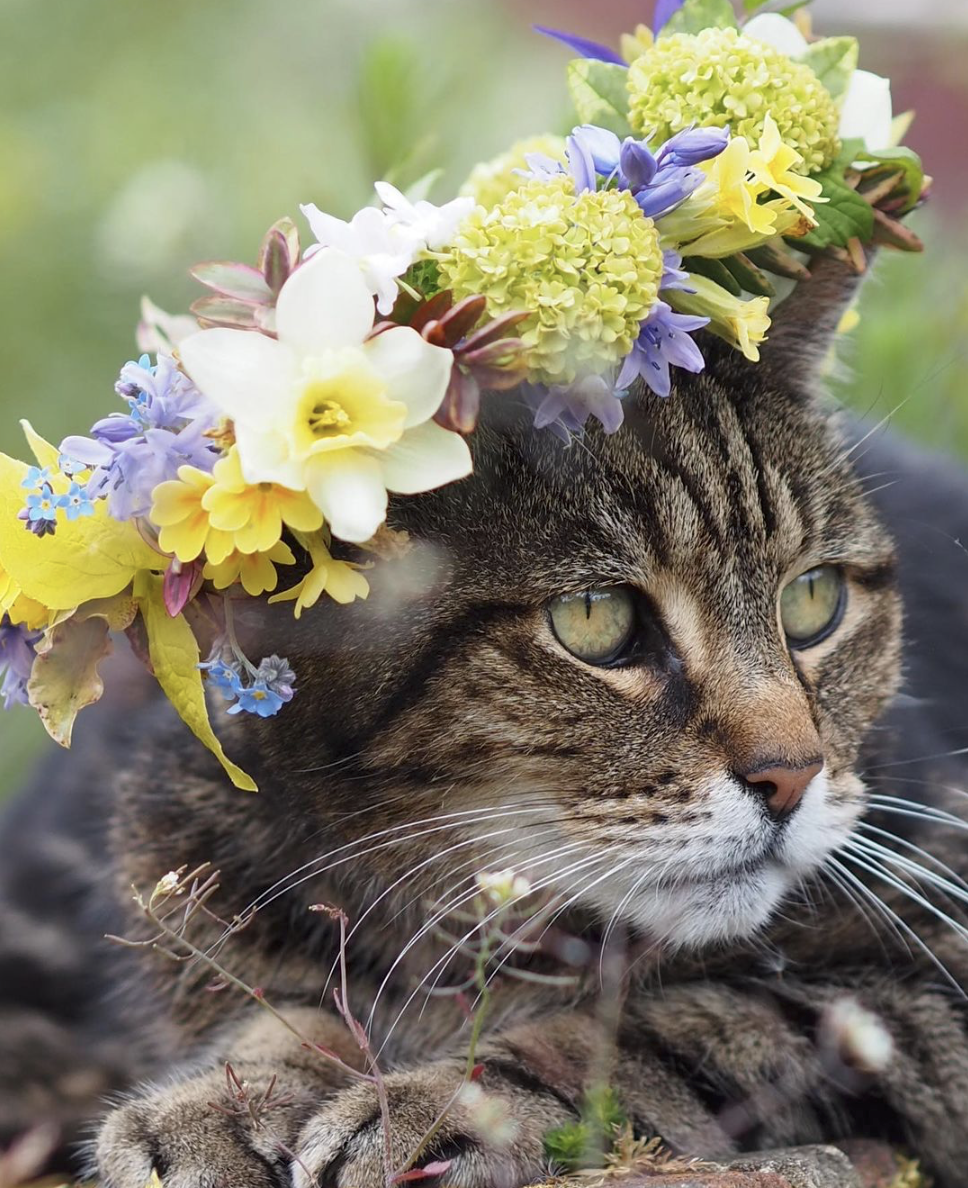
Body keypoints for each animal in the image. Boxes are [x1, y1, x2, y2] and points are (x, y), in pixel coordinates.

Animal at [1, 253, 968, 1188]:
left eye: (813, 599)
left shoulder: (926, 986)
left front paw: (442, 1103)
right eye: (594, 619)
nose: (793, 776)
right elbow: (277, 1008)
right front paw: (227, 1100)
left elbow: (655, 1035)